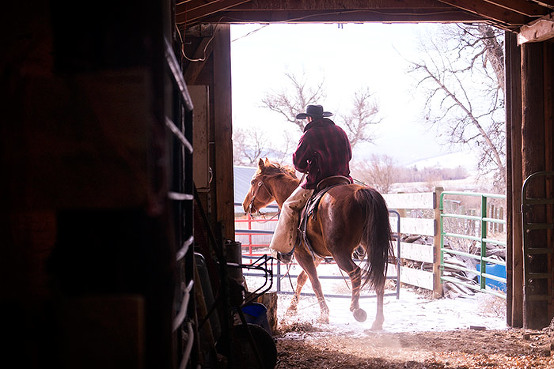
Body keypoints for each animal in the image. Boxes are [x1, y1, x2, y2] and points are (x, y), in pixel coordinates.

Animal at [242, 157, 392, 330]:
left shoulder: (301, 254)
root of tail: (360, 192)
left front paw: (324, 314)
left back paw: (356, 309)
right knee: (379, 277)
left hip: (340, 252)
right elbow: (302, 278)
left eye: (253, 181)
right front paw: (292, 309)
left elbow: (315, 282)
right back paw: (378, 321)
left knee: (355, 273)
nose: (245, 205)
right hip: (371, 246)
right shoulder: (316, 256)